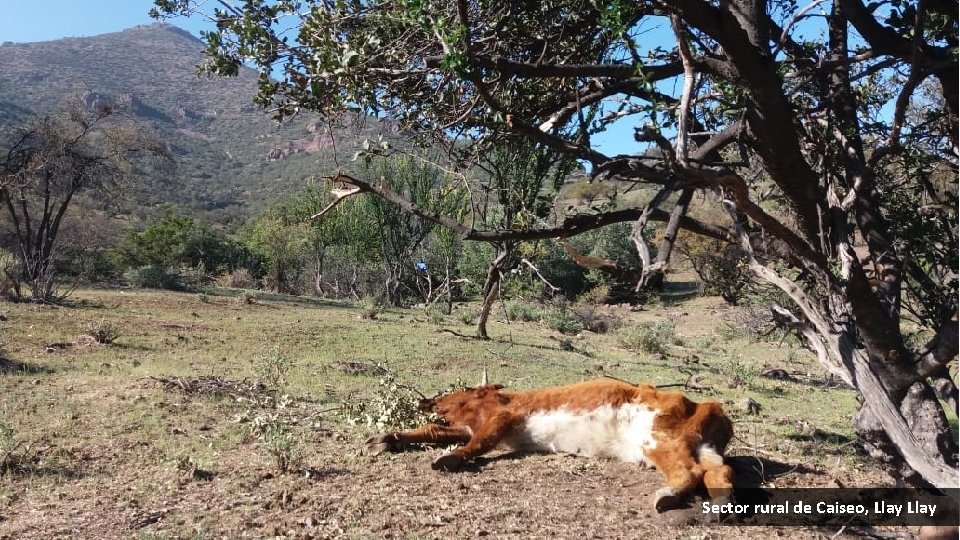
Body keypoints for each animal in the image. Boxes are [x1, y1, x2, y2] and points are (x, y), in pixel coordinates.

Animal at [368, 376, 736, 510]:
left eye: (461, 391)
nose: (427, 400)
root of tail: (708, 407)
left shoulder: (503, 419)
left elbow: (478, 443)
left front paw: (449, 459)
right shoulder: (474, 427)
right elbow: (434, 430)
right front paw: (385, 438)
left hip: (657, 440)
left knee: (689, 471)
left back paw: (667, 495)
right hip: (698, 448)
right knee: (718, 472)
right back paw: (722, 502)